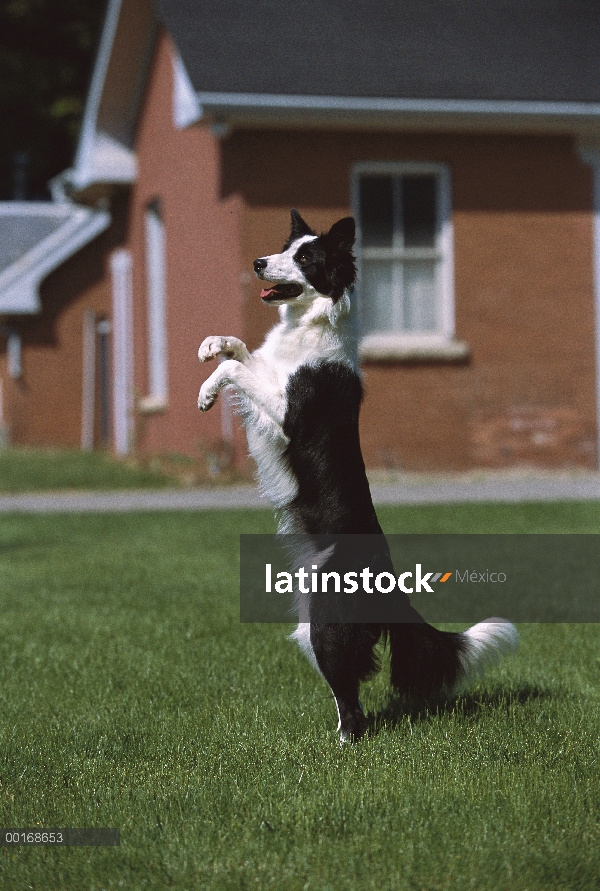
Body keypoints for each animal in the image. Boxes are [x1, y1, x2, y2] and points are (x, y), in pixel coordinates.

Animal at [196, 211, 516, 744]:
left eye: (307, 257)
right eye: (285, 247)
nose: (258, 262)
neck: (309, 323)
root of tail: (386, 574)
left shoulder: (287, 413)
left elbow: (235, 372)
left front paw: (208, 387)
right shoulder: (269, 374)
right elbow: (240, 350)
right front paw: (211, 346)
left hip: (326, 624)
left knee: (353, 701)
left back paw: (343, 745)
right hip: (312, 625)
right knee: (347, 687)